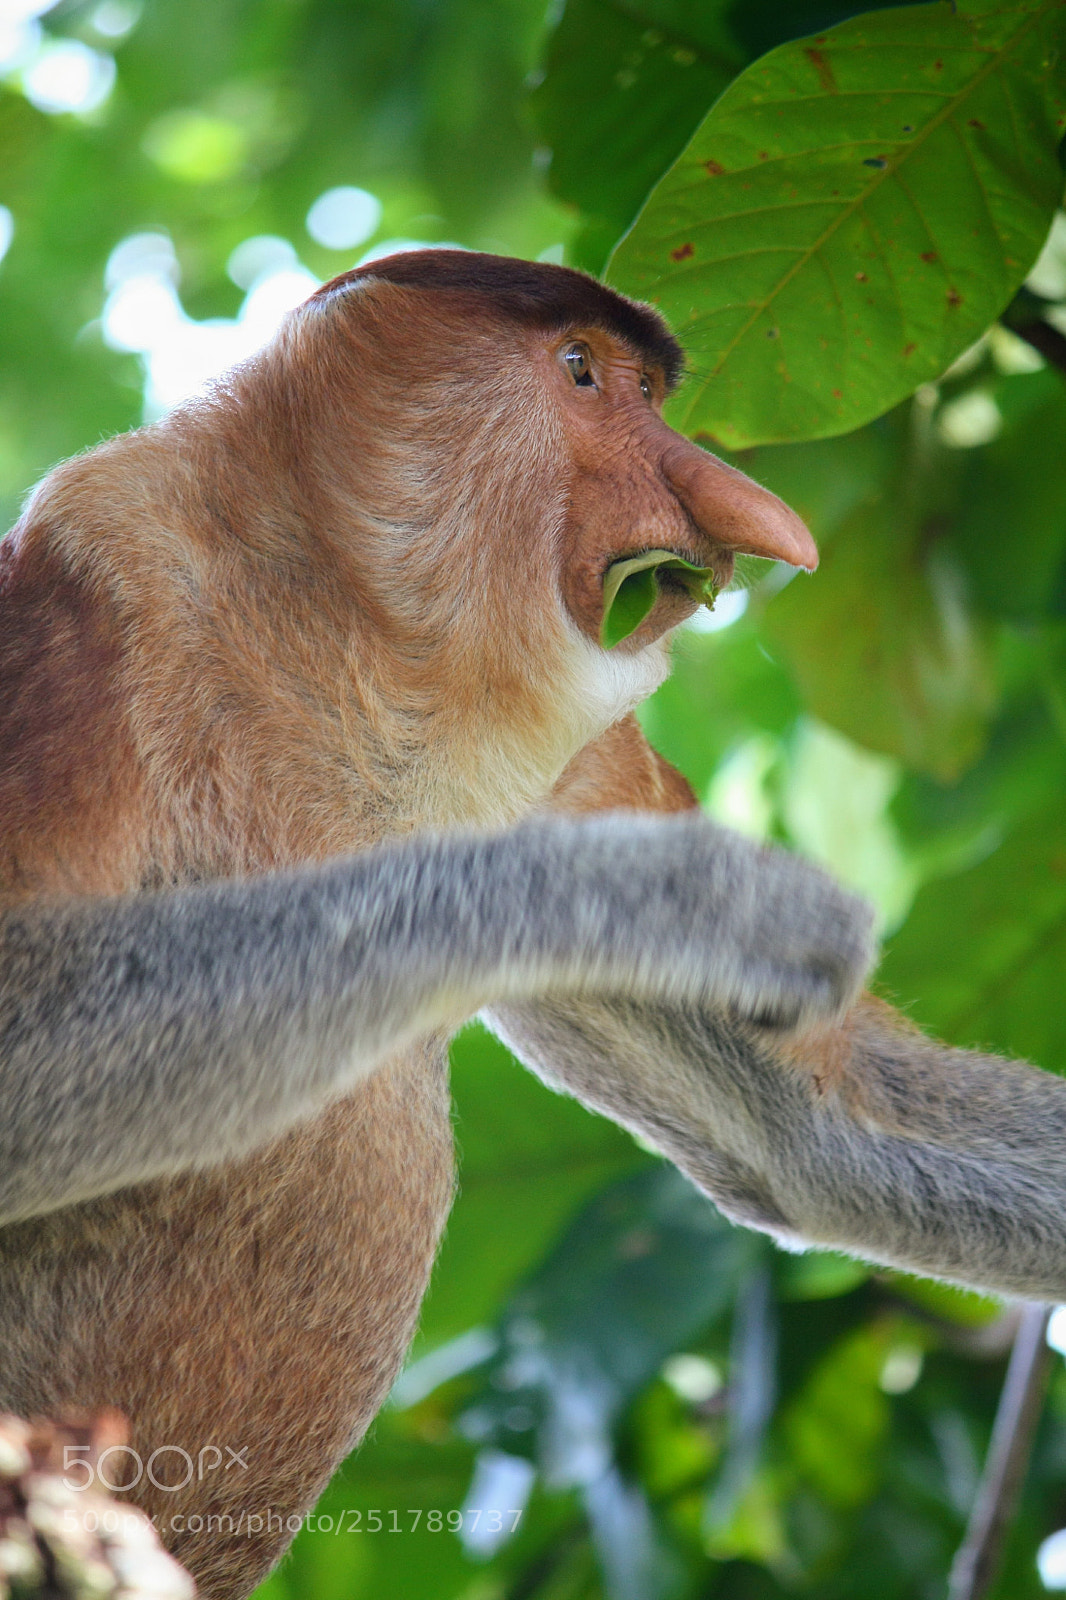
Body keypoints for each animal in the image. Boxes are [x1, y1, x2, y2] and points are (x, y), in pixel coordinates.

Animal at [1, 249, 1064, 1600]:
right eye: (580, 373)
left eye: (651, 391)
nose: (743, 512)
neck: (359, 646)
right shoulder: (95, 569)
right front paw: (682, 900)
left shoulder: (585, 750)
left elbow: (817, 1125)